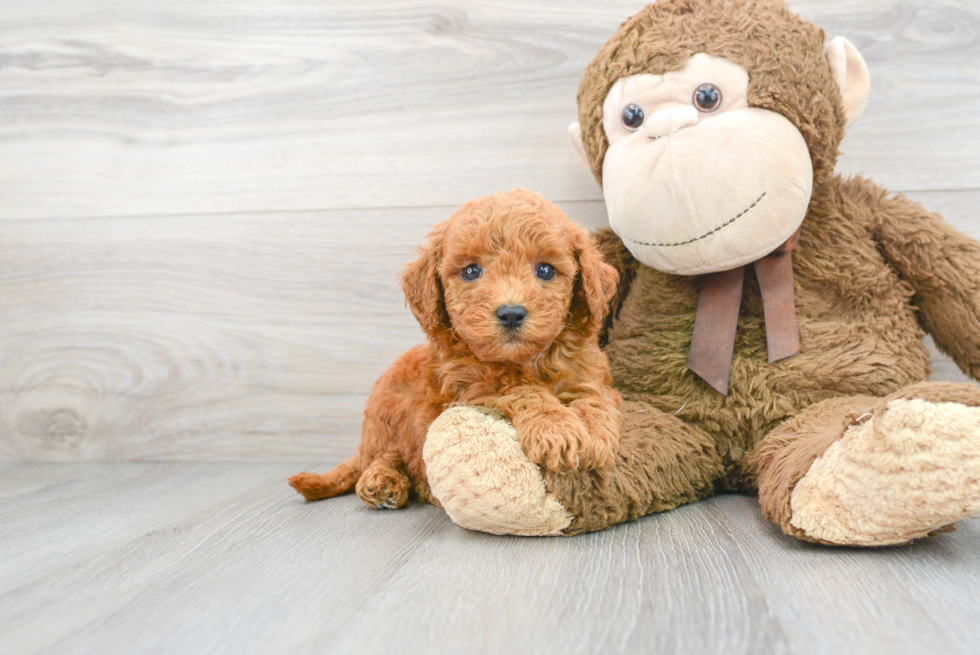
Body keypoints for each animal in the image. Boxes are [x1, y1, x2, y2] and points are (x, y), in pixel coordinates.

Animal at [288, 187, 620, 510]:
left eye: (546, 271)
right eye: (471, 271)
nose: (511, 313)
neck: (526, 360)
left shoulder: (588, 374)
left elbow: (594, 398)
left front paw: (595, 436)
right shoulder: (472, 385)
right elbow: (521, 389)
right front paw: (557, 429)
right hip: (384, 422)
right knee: (388, 456)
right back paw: (382, 482)